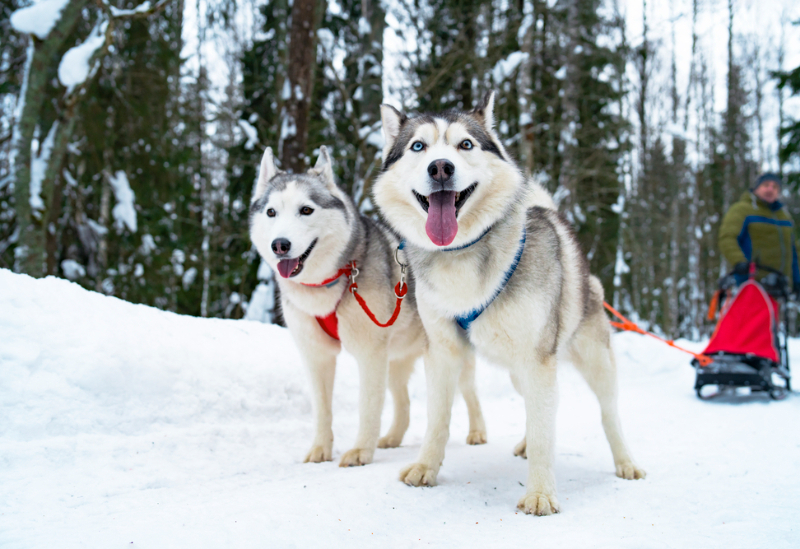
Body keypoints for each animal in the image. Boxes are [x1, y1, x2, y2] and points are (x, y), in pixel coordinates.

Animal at [250, 146, 488, 466]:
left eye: (306, 210)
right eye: (271, 212)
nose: (280, 245)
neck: (330, 283)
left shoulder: (370, 354)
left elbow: (368, 407)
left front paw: (361, 450)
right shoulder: (316, 357)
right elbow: (323, 410)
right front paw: (320, 449)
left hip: (449, 357)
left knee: (470, 393)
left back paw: (477, 433)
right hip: (396, 360)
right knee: (404, 402)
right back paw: (392, 438)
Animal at [374, 93, 644, 512]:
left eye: (465, 144)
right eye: (418, 146)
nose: (441, 167)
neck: (461, 253)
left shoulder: (538, 360)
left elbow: (547, 431)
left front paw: (540, 493)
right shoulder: (443, 352)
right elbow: (437, 420)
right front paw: (425, 468)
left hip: (591, 361)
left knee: (607, 413)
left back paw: (625, 461)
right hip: (521, 372)